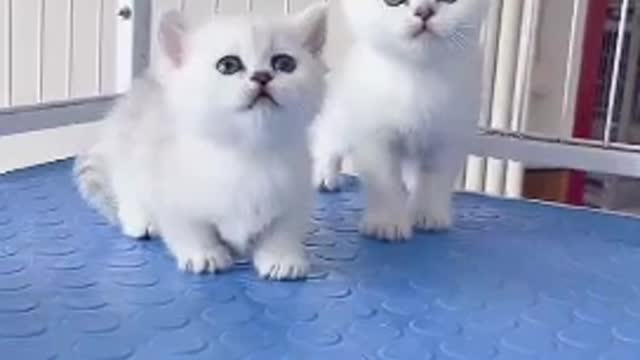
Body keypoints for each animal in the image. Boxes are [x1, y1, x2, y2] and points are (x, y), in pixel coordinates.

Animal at [74, 6, 330, 282]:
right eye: (228, 65)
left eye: (284, 63)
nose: (262, 76)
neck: (247, 154)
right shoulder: (170, 189)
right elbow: (189, 227)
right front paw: (204, 254)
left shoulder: (297, 193)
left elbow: (284, 229)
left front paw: (282, 257)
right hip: (128, 160)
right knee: (129, 193)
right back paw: (141, 221)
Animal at [312, 0, 488, 242]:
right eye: (393, 2)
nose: (424, 11)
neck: (419, 77)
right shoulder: (374, 136)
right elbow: (385, 180)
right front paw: (387, 223)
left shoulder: (449, 137)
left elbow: (435, 178)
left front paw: (428, 214)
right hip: (340, 118)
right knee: (327, 142)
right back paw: (325, 175)